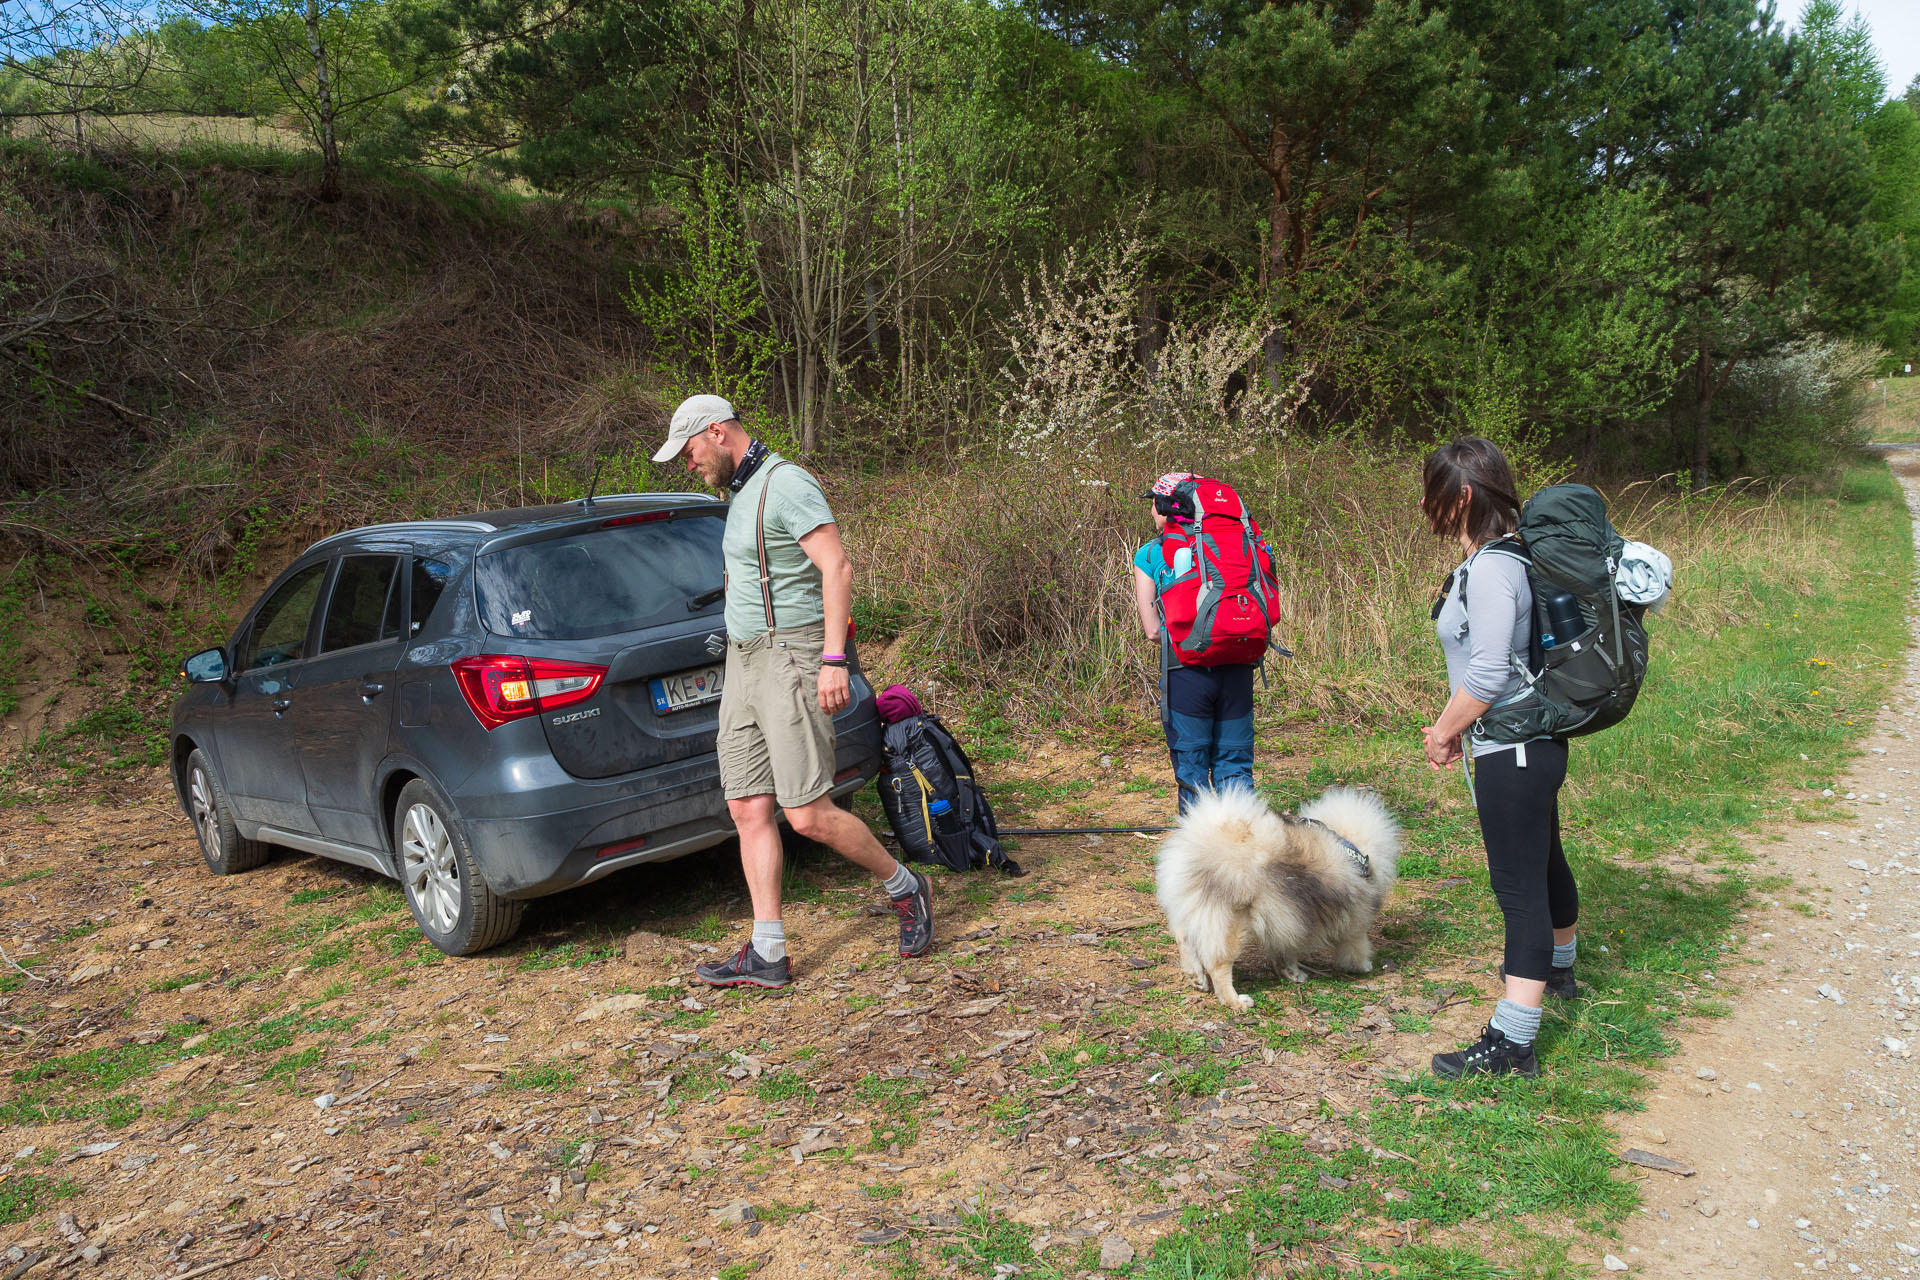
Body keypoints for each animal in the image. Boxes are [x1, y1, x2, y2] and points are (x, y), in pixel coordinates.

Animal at [1144, 786, 1405, 1013]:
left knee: (1184, 940)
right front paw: (1362, 966)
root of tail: (1197, 845)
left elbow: (1285, 951)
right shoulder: (1354, 920)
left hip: (1190, 910)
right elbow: (1356, 945)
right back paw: (1235, 1001)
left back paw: (1196, 978)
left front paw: (1292, 973)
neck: (1351, 847)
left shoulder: (1288, 918)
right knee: (1218, 965)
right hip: (1230, 925)